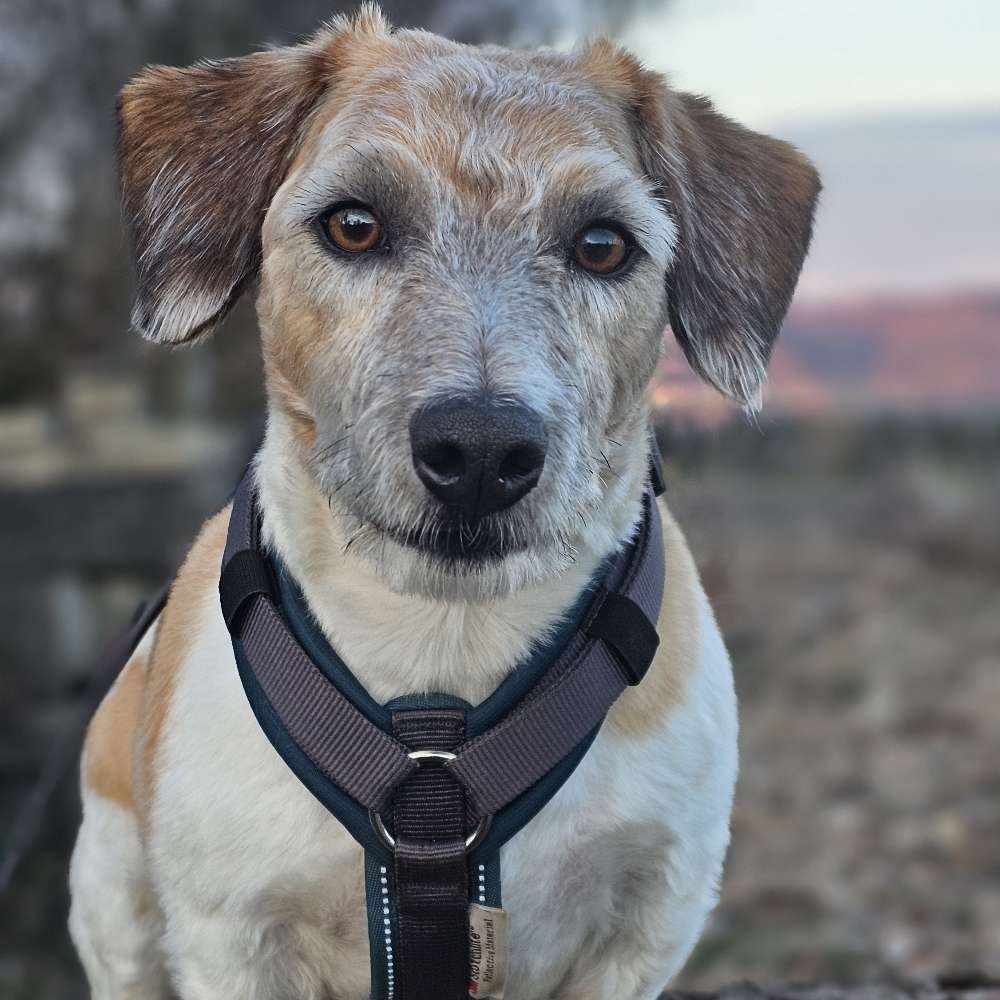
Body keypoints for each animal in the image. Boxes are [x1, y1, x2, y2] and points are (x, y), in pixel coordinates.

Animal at [72, 9, 820, 1000]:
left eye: (603, 243)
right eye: (353, 225)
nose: (481, 453)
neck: (442, 664)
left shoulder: (649, 920)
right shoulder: (228, 931)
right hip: (115, 901)